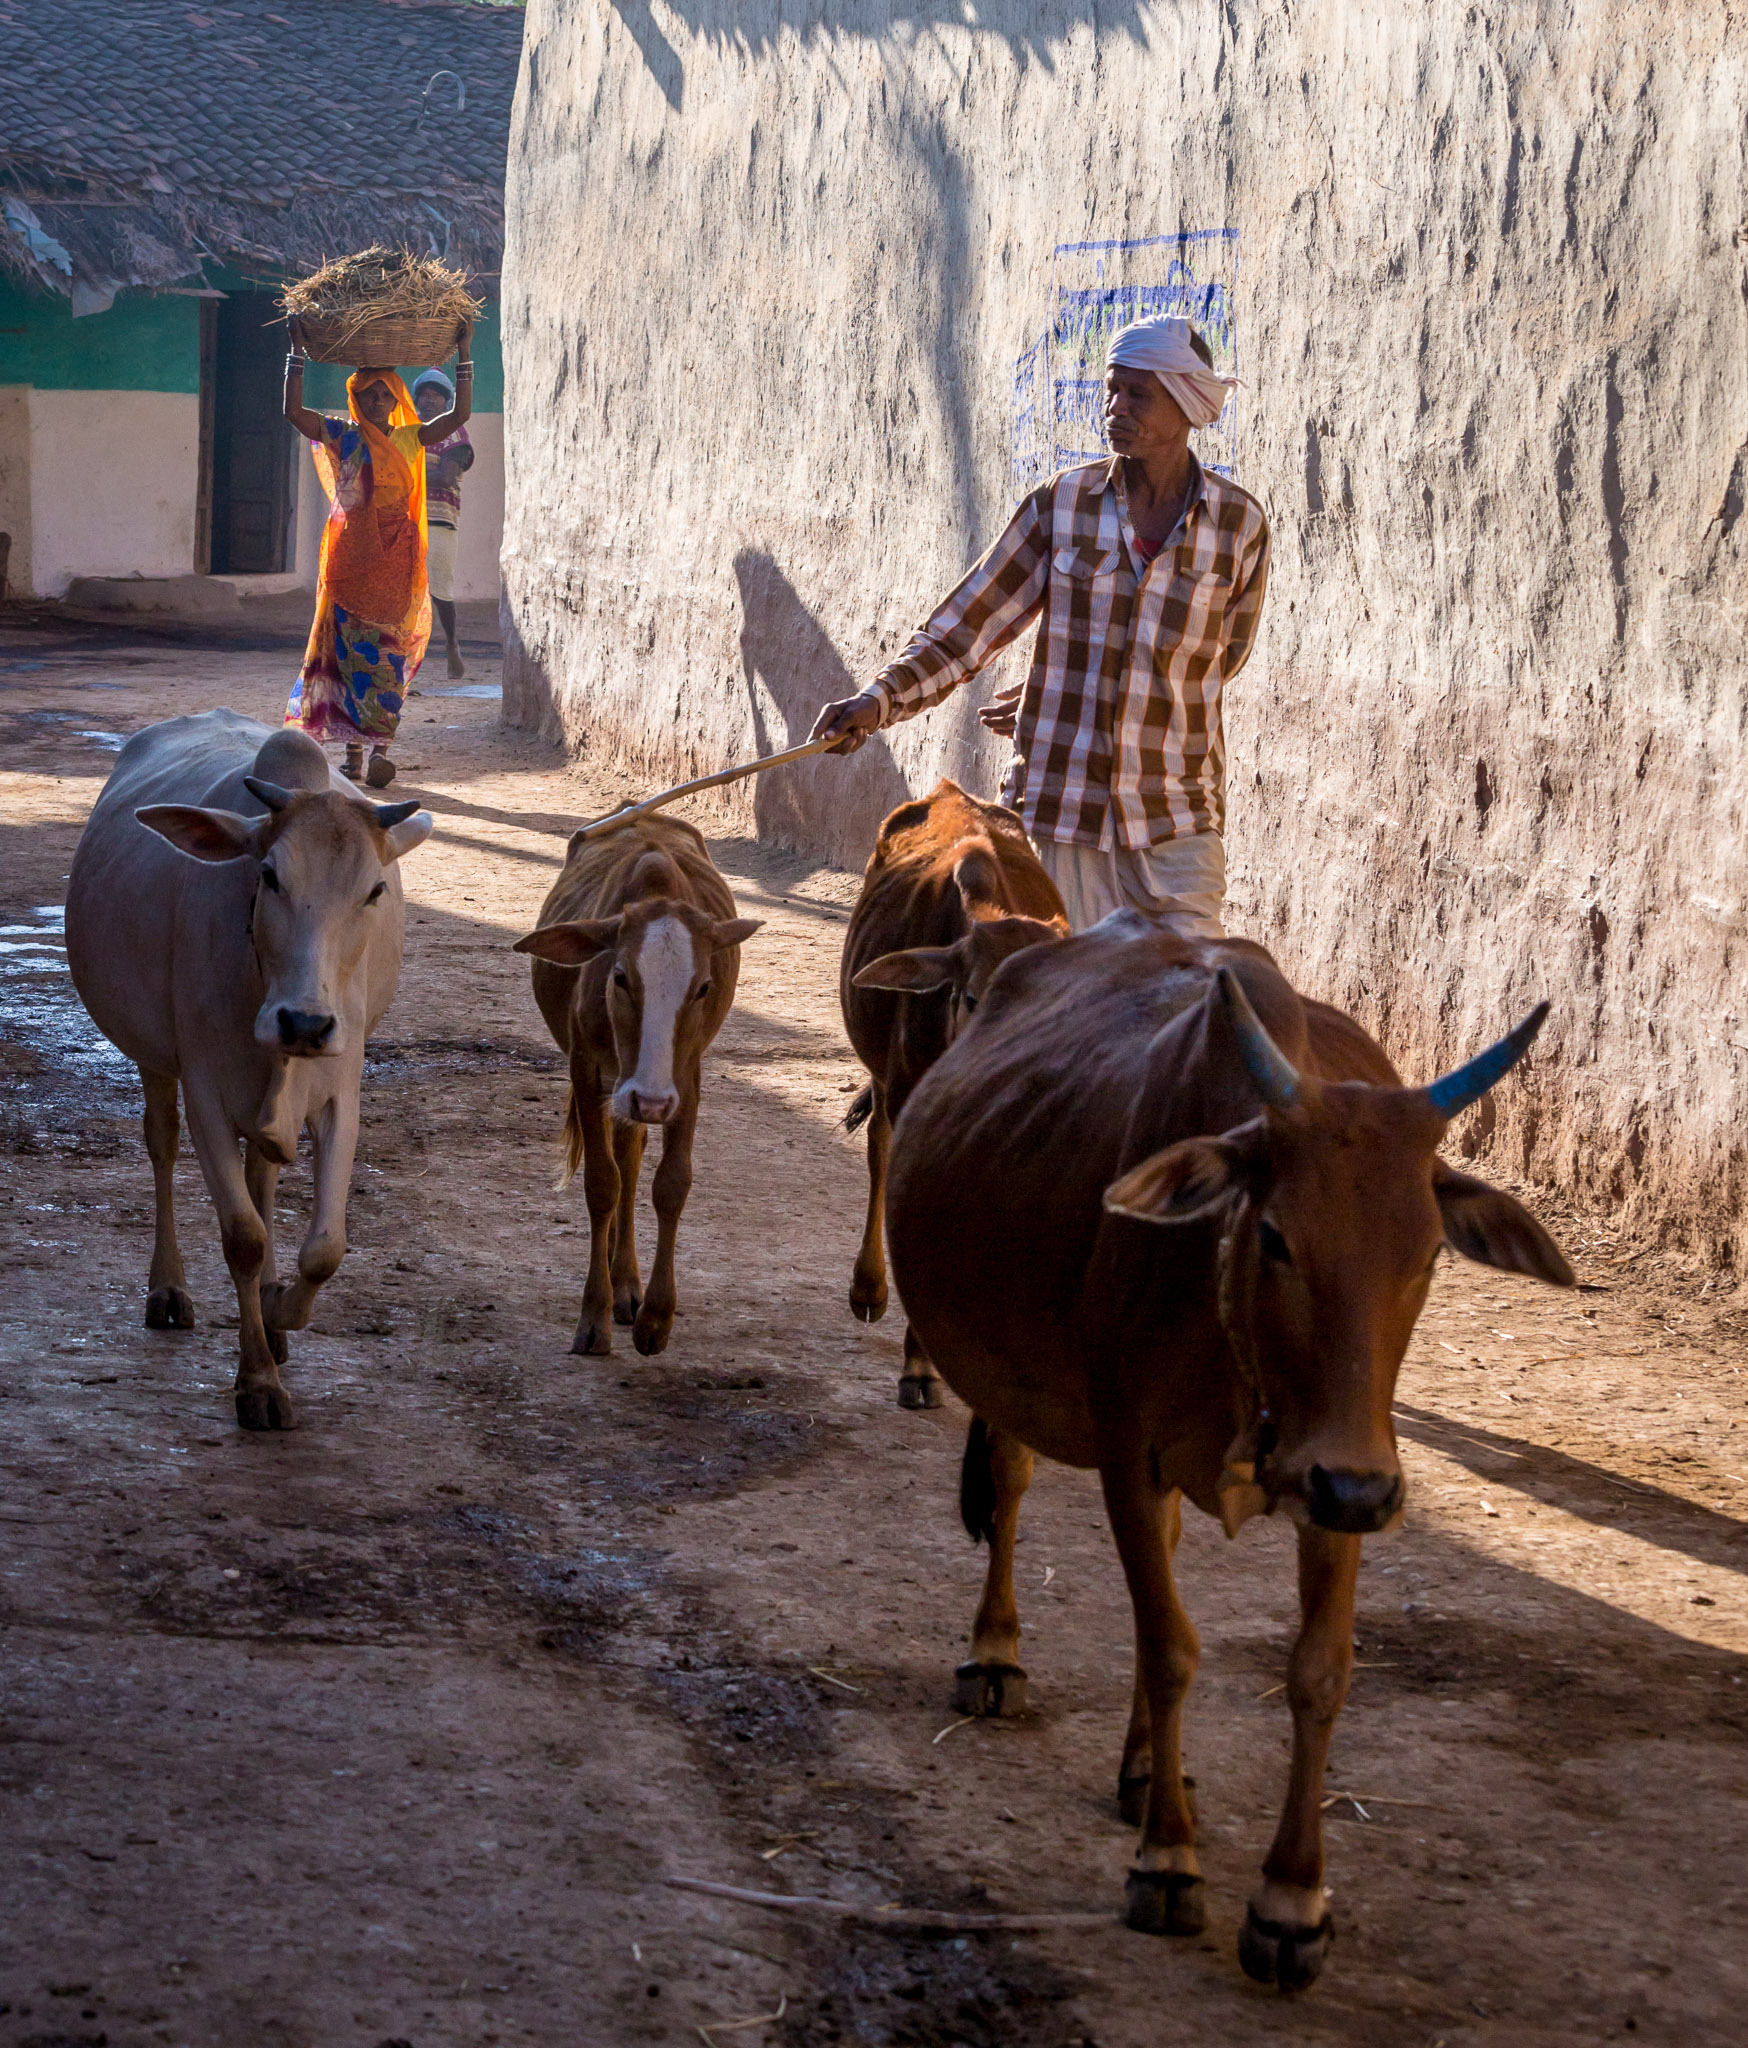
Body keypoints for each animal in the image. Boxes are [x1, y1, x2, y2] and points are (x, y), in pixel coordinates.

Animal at [70, 712, 435, 1433]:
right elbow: (243, 1235)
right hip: (155, 1057)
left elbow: (325, 1246)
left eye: (374, 889)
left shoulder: (340, 1091)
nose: (305, 1024)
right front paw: (258, 1381)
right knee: (161, 1144)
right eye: (267, 876)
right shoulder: (206, 1088)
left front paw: (278, 1311)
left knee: (262, 1174)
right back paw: (169, 1288)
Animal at [513, 815, 761, 1359]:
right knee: (619, 1158)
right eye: (621, 976)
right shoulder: (588, 1071)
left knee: (631, 1153)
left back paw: (627, 1282)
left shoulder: (683, 1080)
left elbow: (670, 1183)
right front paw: (594, 1316)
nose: (649, 1099)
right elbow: (601, 1183)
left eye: (704, 987)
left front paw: (656, 1317)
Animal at [888, 925, 1571, 1982]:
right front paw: (1167, 1863)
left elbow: (1319, 1669)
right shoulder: (1129, 1451)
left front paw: (1291, 1902)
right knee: (1010, 1484)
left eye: (1426, 1253)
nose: (1356, 1487)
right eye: (1279, 1237)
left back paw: (1141, 1768)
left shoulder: (1343, 1476)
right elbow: (1170, 1645)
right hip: (1014, 1386)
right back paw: (997, 1658)